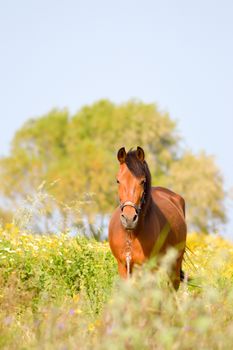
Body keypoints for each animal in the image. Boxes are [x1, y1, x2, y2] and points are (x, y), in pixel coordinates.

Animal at [108, 146, 187, 288]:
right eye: (118, 180)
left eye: (142, 181)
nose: (129, 219)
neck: (132, 234)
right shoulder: (124, 266)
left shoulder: (149, 267)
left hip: (174, 266)